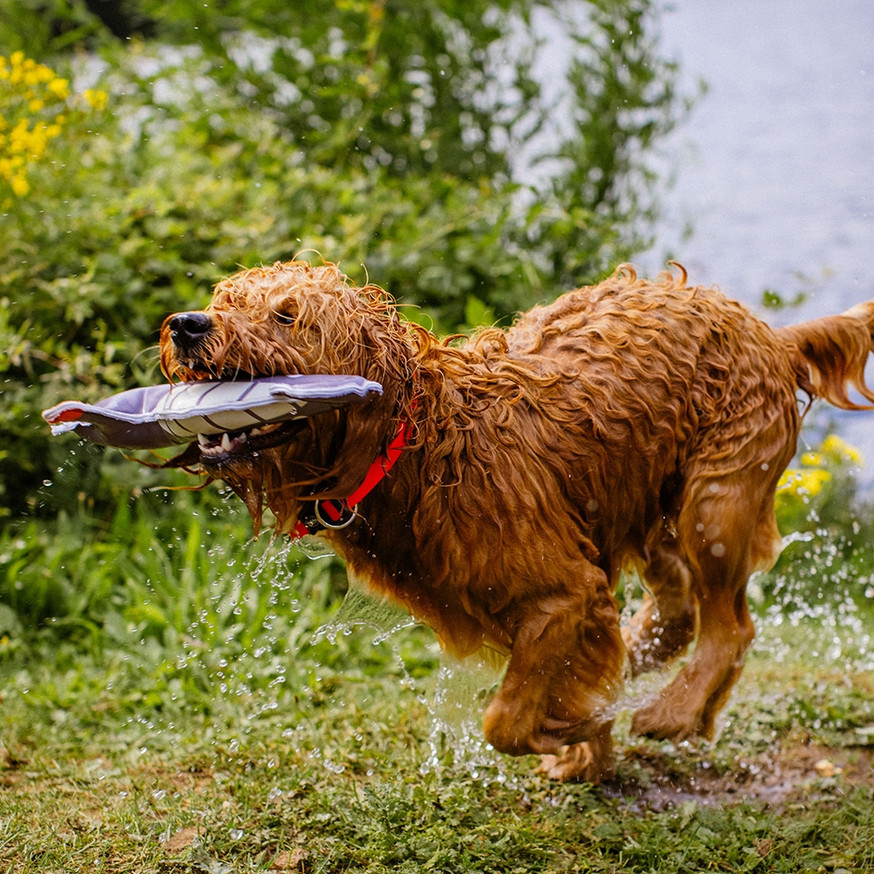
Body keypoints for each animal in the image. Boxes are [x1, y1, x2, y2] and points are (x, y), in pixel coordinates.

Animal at [158, 258, 872, 776]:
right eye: (226, 301)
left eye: (287, 315)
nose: (189, 325)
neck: (419, 444)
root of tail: (772, 332)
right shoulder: (577, 586)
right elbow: (561, 683)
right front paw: (588, 739)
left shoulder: (566, 592)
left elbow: (504, 719)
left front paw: (575, 728)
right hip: (642, 501)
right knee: (678, 611)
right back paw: (648, 672)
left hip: (714, 504)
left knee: (731, 627)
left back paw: (673, 709)